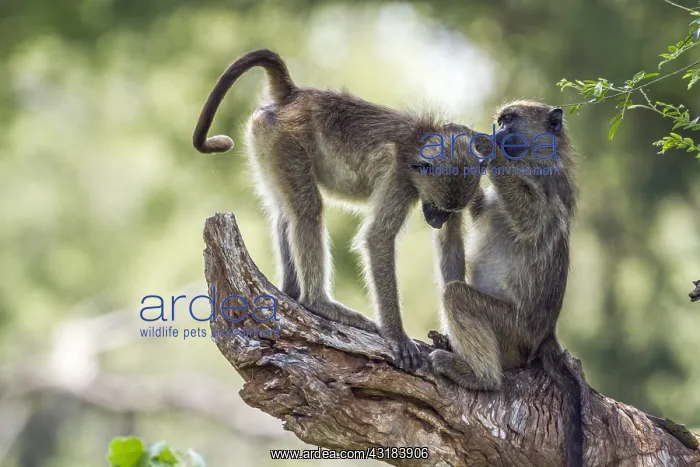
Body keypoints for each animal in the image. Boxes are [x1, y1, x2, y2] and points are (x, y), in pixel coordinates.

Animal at [192, 49, 484, 370]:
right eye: (437, 208)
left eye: (448, 211)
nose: (436, 220)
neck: (423, 138)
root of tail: (296, 96)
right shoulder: (400, 177)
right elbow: (378, 239)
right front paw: (397, 336)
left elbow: (451, 243)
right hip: (286, 139)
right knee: (306, 210)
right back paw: (317, 303)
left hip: (267, 138)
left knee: (285, 213)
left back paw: (292, 293)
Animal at [428, 100, 587, 467]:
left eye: (509, 121)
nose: (497, 132)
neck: (531, 161)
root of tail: (544, 337)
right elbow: (474, 209)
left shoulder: (550, 186)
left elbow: (530, 219)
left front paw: (483, 145)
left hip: (513, 334)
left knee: (457, 296)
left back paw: (481, 378)